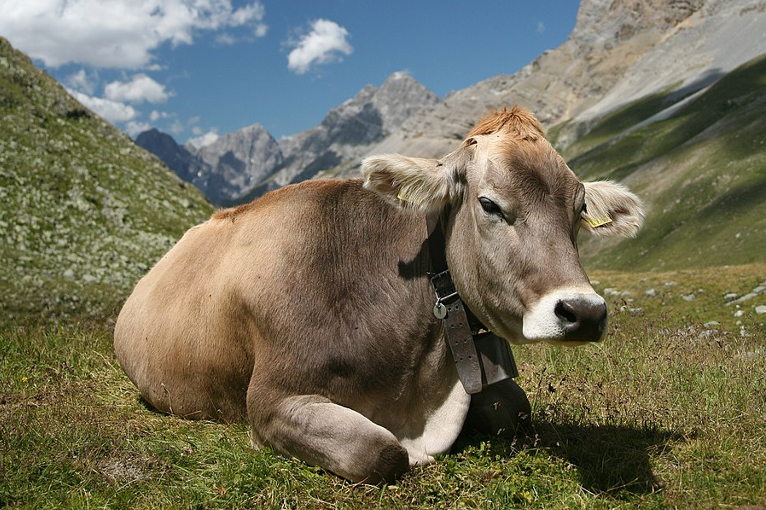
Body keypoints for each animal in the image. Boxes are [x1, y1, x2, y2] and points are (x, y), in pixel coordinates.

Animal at [114, 107, 644, 483]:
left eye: (579, 210)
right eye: (490, 204)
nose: (583, 312)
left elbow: (515, 410)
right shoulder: (272, 400)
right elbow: (380, 452)